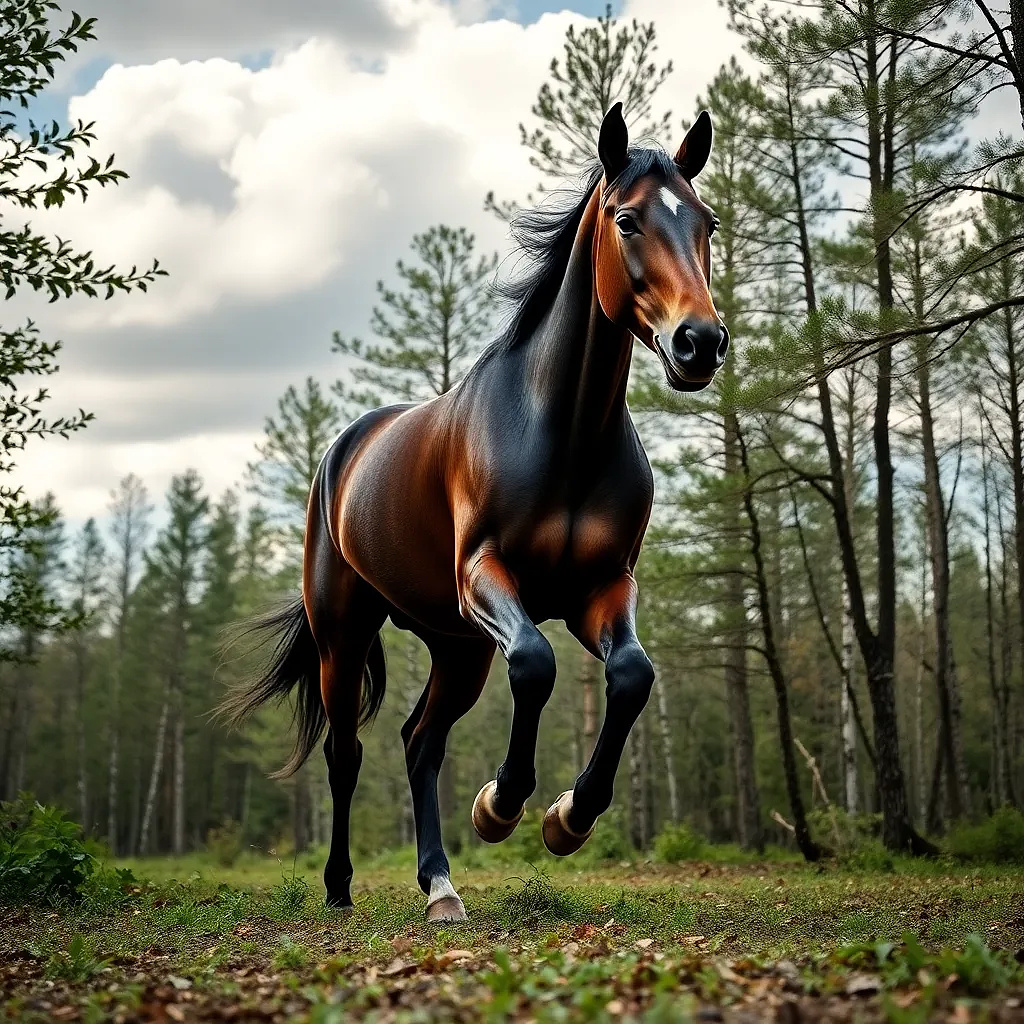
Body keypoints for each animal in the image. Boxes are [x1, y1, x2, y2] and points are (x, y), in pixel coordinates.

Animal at [220, 102, 727, 922]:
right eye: (627, 221)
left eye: (706, 222)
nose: (700, 343)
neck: (565, 434)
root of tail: (343, 451)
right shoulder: (488, 580)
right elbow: (537, 663)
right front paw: (500, 805)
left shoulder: (602, 590)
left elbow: (630, 676)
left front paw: (567, 819)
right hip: (346, 634)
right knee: (346, 751)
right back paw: (341, 887)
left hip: (457, 648)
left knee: (419, 742)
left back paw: (440, 886)